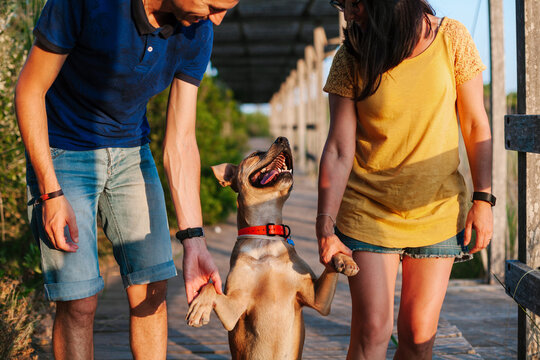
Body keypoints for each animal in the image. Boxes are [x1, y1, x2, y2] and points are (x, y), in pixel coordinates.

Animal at [186, 136, 358, 358]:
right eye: (254, 154)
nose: (282, 139)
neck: (265, 235)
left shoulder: (318, 300)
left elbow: (331, 260)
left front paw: (344, 259)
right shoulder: (233, 310)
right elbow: (208, 285)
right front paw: (200, 306)